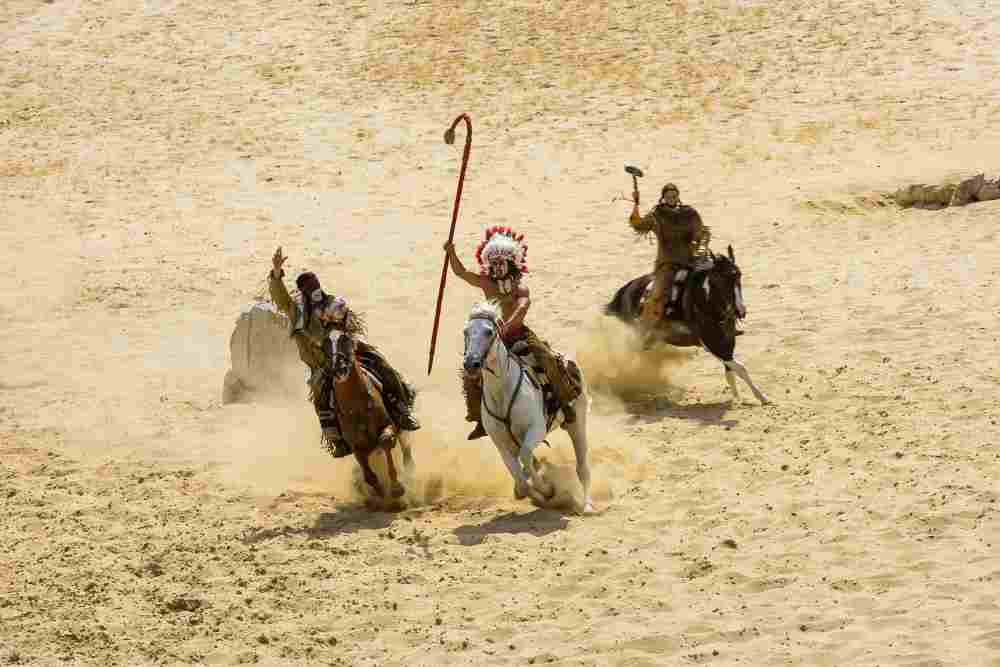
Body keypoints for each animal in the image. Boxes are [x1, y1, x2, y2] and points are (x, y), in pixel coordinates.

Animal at [324, 332, 410, 498]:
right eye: (325, 344)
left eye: (346, 340)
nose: (338, 368)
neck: (357, 405)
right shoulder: (356, 446)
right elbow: (368, 475)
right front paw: (379, 492)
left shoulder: (388, 426)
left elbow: (385, 440)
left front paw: (396, 488)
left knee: (405, 445)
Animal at [462, 302, 592, 516]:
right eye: (466, 331)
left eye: (489, 332)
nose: (471, 363)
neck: (502, 391)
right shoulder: (501, 443)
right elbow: (520, 479)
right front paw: (532, 491)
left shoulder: (536, 429)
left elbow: (526, 458)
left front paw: (548, 490)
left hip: (578, 424)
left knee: (582, 467)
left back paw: (587, 505)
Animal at [604, 244, 768, 404]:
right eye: (719, 280)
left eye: (739, 275)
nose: (740, 310)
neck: (705, 303)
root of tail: (627, 289)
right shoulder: (712, 345)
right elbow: (740, 368)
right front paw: (762, 397)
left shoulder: (727, 341)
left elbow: (731, 371)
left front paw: (737, 396)